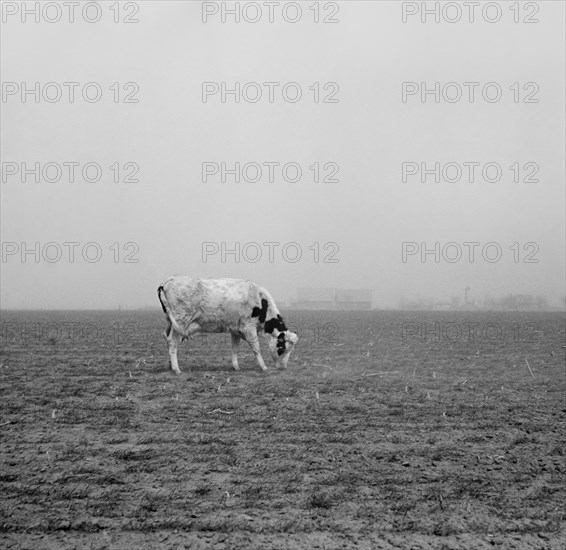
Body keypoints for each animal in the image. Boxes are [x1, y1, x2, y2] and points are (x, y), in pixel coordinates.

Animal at [155, 276, 298, 376]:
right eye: (282, 348)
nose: (283, 367)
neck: (260, 300)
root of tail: (169, 280)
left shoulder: (235, 330)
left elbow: (234, 348)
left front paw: (236, 366)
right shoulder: (248, 327)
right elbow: (256, 348)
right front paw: (263, 367)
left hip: (170, 323)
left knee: (166, 339)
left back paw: (170, 366)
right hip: (180, 322)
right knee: (172, 343)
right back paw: (176, 369)